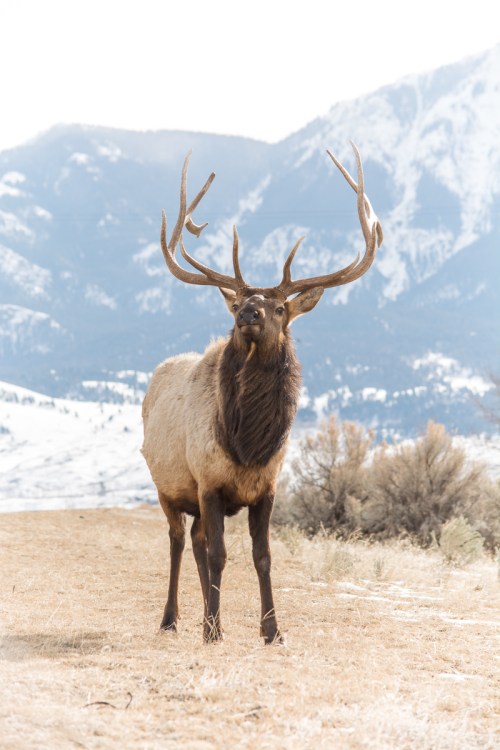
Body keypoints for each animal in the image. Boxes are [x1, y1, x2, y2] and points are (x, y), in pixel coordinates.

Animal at [141, 143, 383, 644]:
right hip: (167, 485)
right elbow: (220, 555)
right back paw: (174, 618)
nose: (248, 313)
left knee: (196, 542)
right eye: (237, 302)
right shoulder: (208, 482)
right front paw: (215, 630)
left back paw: (203, 615)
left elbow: (262, 556)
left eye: (280, 307)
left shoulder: (266, 487)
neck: (247, 444)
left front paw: (271, 629)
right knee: (178, 541)